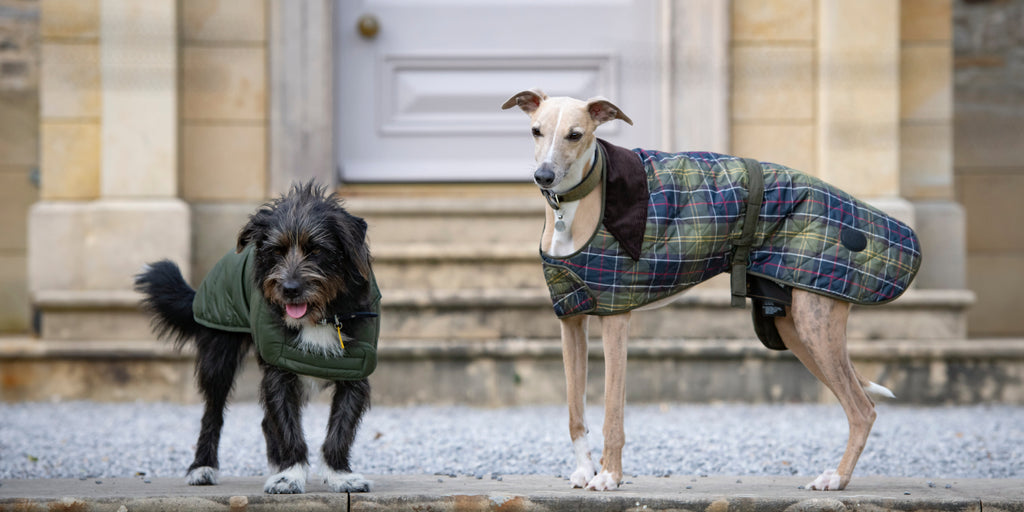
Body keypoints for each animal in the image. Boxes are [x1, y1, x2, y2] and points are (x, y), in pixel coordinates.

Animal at [134, 182, 378, 493]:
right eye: (276, 251)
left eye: (316, 250)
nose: (289, 289)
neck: (321, 316)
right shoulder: (280, 371)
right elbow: (288, 426)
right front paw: (290, 474)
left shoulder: (354, 372)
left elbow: (340, 429)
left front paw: (339, 475)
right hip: (219, 357)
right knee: (213, 413)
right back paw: (203, 467)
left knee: (265, 421)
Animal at [501, 90, 897, 493]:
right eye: (536, 131)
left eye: (575, 135)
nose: (544, 176)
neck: (580, 205)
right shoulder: (572, 319)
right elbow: (574, 409)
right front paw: (585, 471)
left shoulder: (615, 318)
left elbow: (612, 411)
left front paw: (609, 476)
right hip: (794, 327)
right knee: (860, 403)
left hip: (815, 324)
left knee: (863, 409)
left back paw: (838, 478)